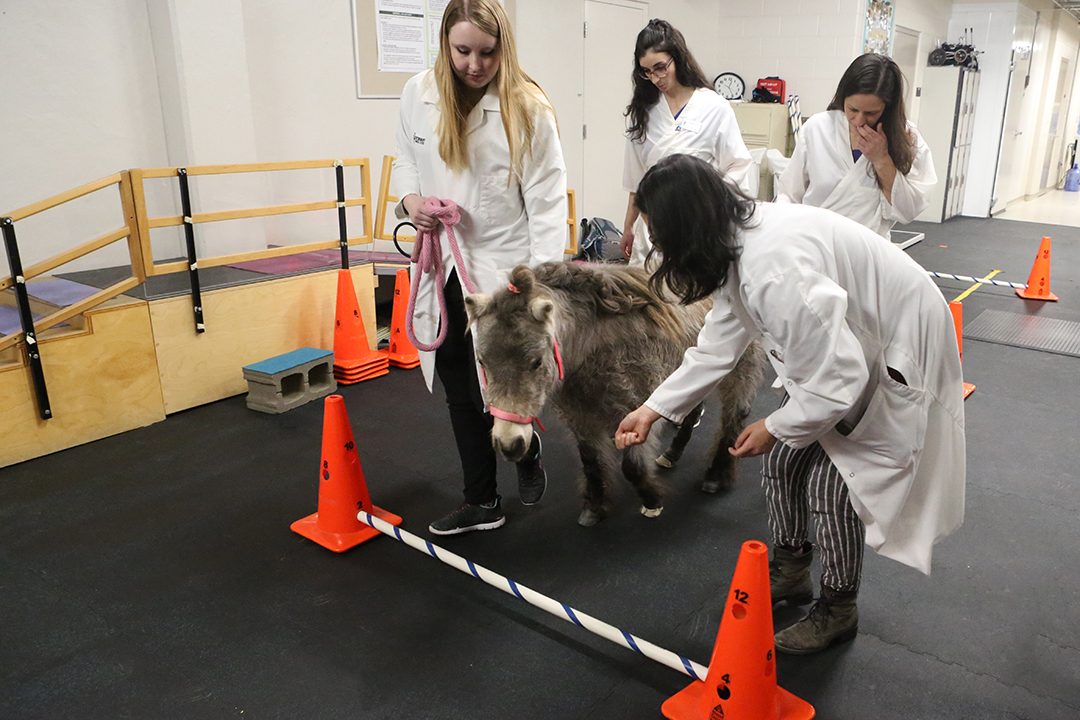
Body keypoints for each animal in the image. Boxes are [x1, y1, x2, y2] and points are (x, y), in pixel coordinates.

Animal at [464, 262, 768, 526]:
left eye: (536, 362)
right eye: (481, 362)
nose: (509, 445)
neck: (592, 345)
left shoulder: (638, 409)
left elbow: (632, 466)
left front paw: (652, 501)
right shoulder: (581, 417)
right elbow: (591, 461)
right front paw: (595, 506)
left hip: (739, 366)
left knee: (735, 415)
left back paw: (716, 475)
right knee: (692, 409)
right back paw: (673, 453)